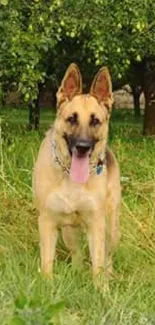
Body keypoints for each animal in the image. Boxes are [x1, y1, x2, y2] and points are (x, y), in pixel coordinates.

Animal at [33, 63, 121, 286]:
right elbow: (47, 263)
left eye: (95, 121)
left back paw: (108, 275)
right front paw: (47, 286)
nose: (82, 147)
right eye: (71, 119)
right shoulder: (47, 222)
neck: (70, 178)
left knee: (107, 257)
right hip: (68, 231)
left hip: (111, 229)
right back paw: (76, 274)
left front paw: (102, 290)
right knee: (77, 255)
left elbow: (98, 264)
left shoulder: (97, 224)